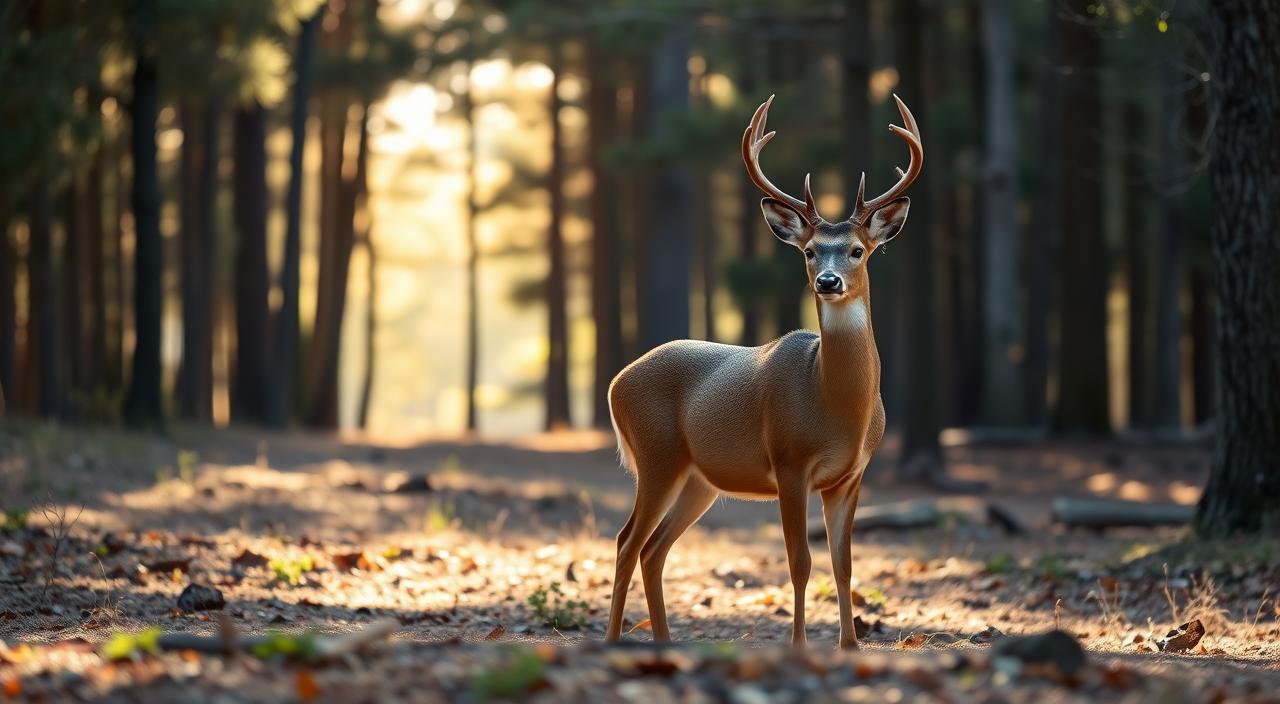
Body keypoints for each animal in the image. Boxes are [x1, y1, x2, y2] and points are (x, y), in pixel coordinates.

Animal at [604, 94, 926, 650]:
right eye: (810, 250)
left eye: (857, 250)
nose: (827, 280)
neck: (836, 404)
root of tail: (615, 381)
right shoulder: (789, 462)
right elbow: (800, 562)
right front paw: (799, 644)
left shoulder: (852, 474)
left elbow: (844, 565)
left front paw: (850, 644)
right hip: (657, 455)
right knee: (627, 541)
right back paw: (611, 640)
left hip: (699, 479)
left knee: (654, 549)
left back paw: (664, 640)